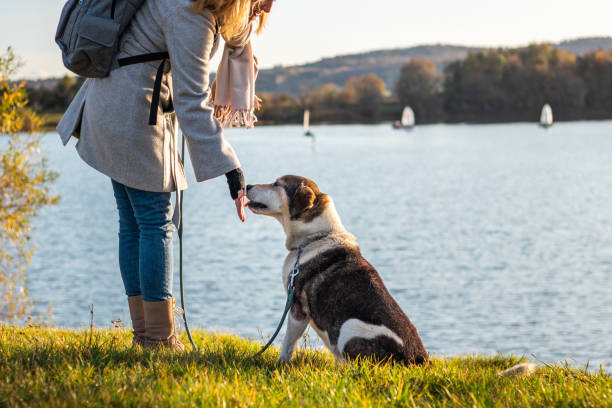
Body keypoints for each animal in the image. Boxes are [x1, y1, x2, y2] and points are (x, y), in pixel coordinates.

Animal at [246, 175, 428, 366]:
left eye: (276, 184)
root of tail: (418, 359)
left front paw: (280, 365)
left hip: (349, 326)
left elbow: (288, 343)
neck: (314, 238)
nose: (247, 186)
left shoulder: (297, 308)